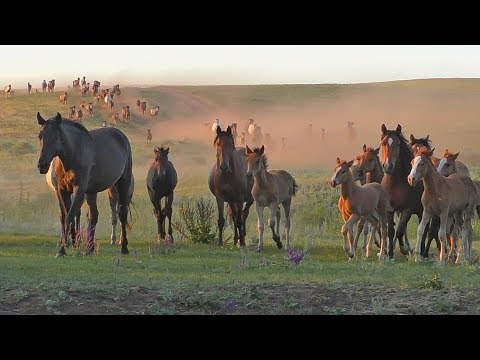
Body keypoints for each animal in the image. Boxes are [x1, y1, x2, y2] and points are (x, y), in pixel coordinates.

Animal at [35, 112, 134, 256]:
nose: (42, 165)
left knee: (122, 214)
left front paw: (63, 249)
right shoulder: (62, 190)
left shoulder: (79, 190)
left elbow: (70, 216)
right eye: (40, 136)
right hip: (92, 192)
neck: (72, 156)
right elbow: (67, 216)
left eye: (55, 137)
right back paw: (89, 249)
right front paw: (69, 244)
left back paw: (124, 247)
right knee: (93, 216)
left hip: (122, 184)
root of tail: (121, 136)